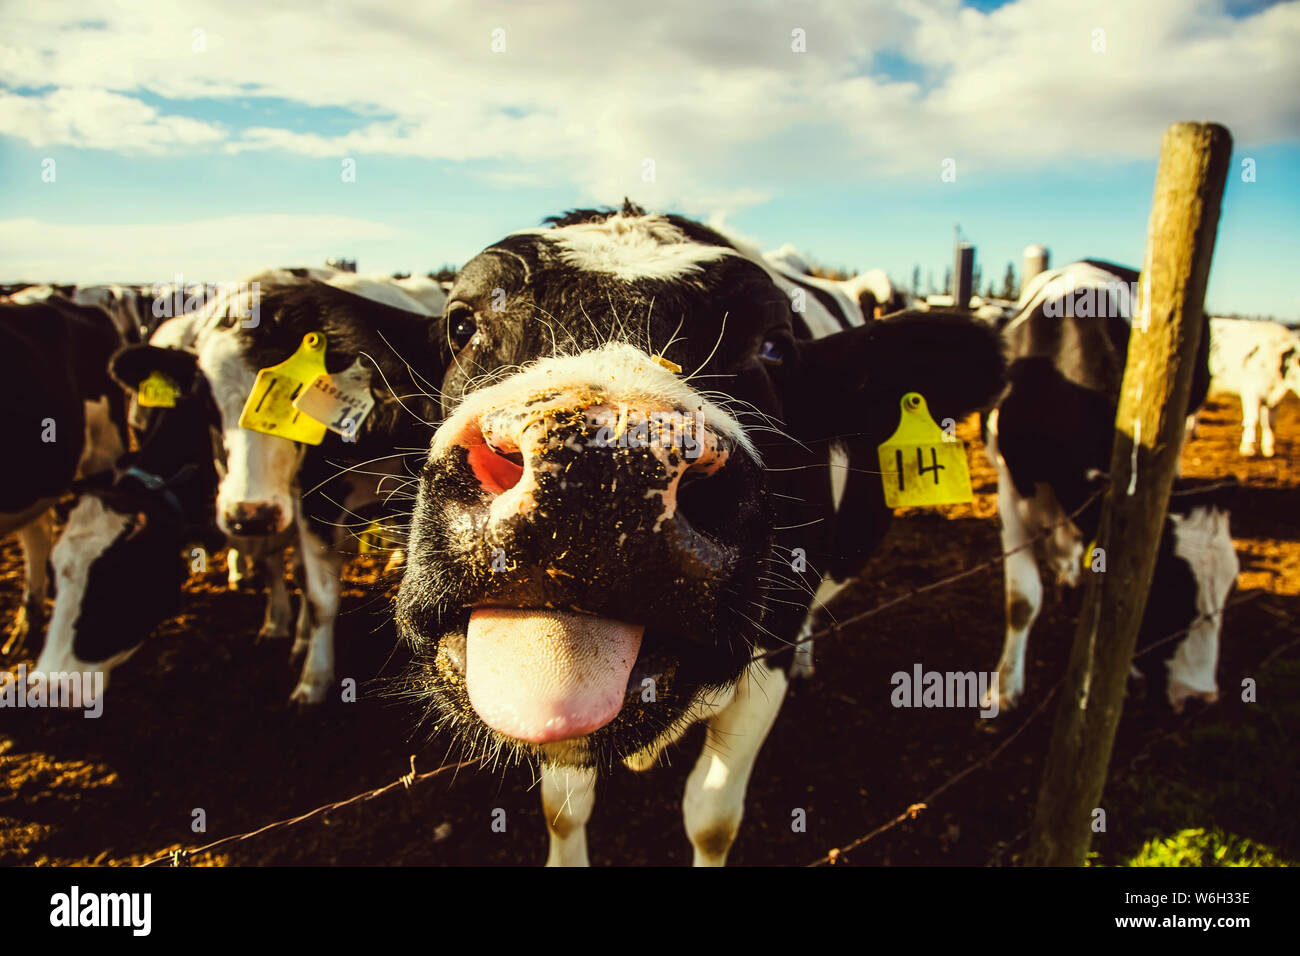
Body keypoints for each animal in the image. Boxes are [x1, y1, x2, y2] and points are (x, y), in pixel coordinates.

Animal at [390, 204, 998, 868]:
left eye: (775, 347)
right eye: (461, 323)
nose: (601, 469)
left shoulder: (767, 658)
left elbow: (711, 820)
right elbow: (562, 808)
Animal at [982, 260, 1237, 712]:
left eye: (1228, 591)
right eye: (1168, 589)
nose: (1199, 698)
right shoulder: (1011, 486)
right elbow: (1021, 600)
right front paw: (1005, 689)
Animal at [1201, 316, 1294, 457]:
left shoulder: (1274, 397)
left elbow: (1270, 423)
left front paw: (1269, 450)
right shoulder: (1251, 390)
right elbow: (1253, 418)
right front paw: (1247, 449)